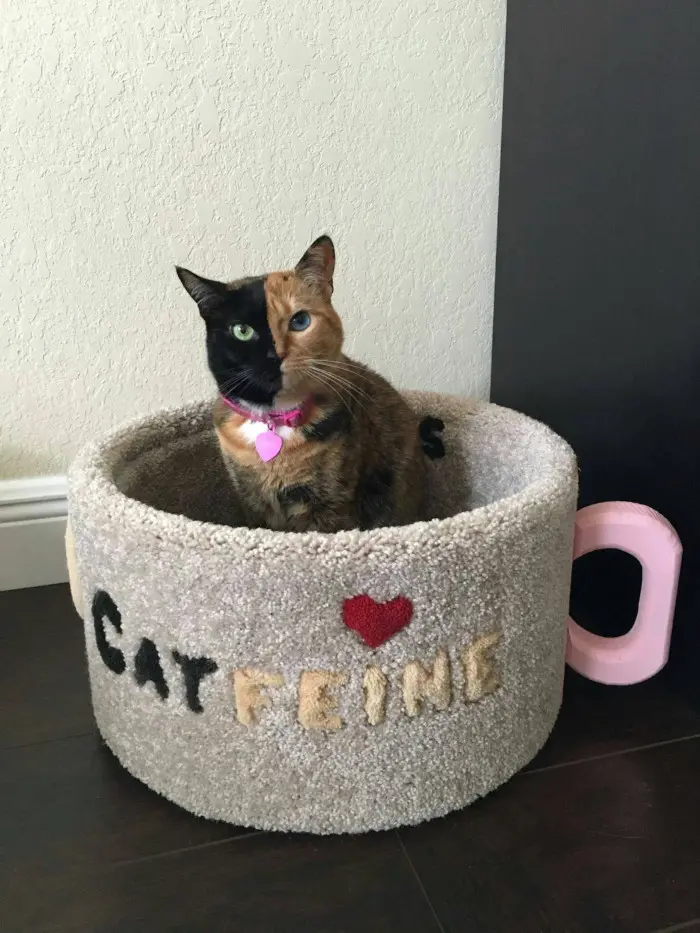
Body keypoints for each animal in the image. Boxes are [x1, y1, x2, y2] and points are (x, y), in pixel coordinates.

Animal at [176, 235, 438, 532]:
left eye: (300, 321)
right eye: (242, 330)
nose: (274, 356)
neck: (274, 421)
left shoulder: (331, 504)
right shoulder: (251, 503)